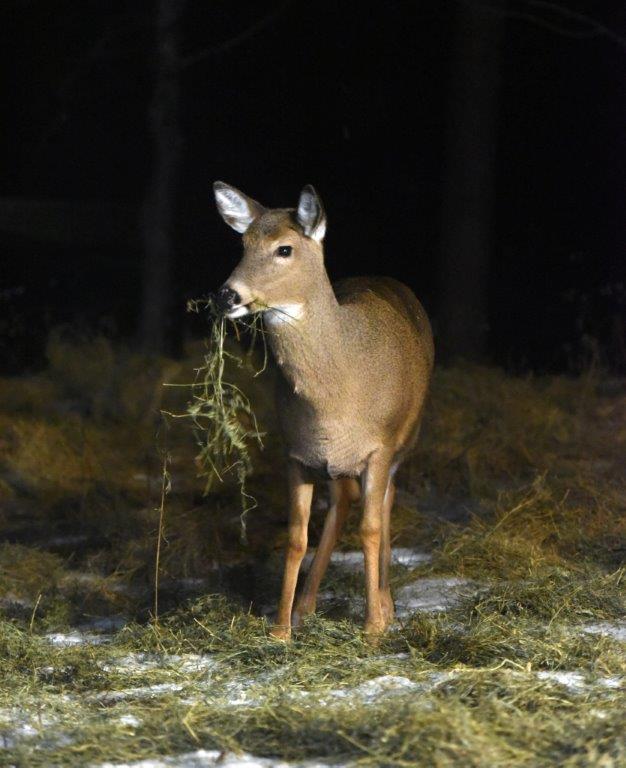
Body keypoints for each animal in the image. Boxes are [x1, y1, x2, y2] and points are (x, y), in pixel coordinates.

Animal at [212, 182, 434, 640]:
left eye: (284, 248)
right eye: (243, 244)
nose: (226, 295)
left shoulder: (379, 447)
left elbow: (370, 528)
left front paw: (373, 627)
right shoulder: (296, 452)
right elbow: (297, 536)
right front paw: (281, 629)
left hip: (406, 440)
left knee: (386, 506)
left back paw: (387, 604)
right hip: (333, 463)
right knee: (342, 502)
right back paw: (306, 605)